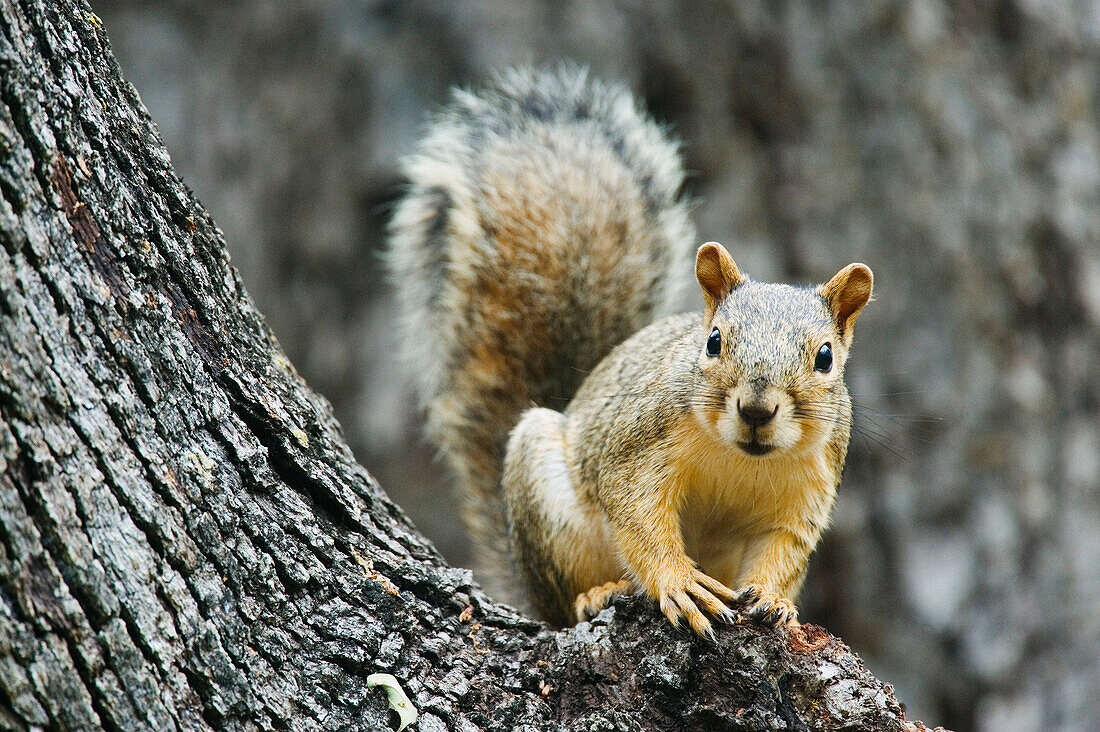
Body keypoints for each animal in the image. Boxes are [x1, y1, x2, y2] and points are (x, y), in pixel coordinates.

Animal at [391, 69, 871, 638]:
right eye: (713, 341)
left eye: (825, 358)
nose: (756, 410)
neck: (741, 458)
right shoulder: (640, 442)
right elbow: (638, 514)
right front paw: (678, 583)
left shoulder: (809, 487)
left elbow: (784, 547)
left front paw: (775, 600)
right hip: (546, 500)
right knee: (565, 601)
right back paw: (598, 593)